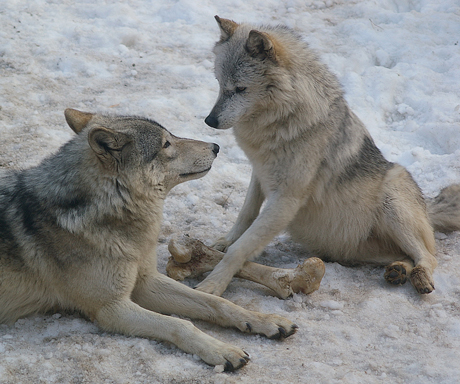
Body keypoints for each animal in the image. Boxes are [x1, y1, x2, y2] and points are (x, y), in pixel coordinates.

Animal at [0, 107, 296, 368]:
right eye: (166, 144)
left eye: (171, 136)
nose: (215, 146)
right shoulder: (111, 308)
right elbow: (181, 324)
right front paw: (221, 350)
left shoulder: (145, 282)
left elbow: (218, 302)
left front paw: (265, 320)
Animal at [194, 15, 460, 296]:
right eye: (219, 84)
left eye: (241, 88)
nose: (209, 120)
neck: (285, 121)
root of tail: (427, 207)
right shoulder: (260, 174)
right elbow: (244, 216)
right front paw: (223, 242)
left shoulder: (285, 200)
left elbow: (240, 249)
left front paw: (212, 285)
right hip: (360, 249)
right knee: (406, 256)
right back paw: (398, 271)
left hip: (392, 205)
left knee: (428, 256)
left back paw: (419, 277)